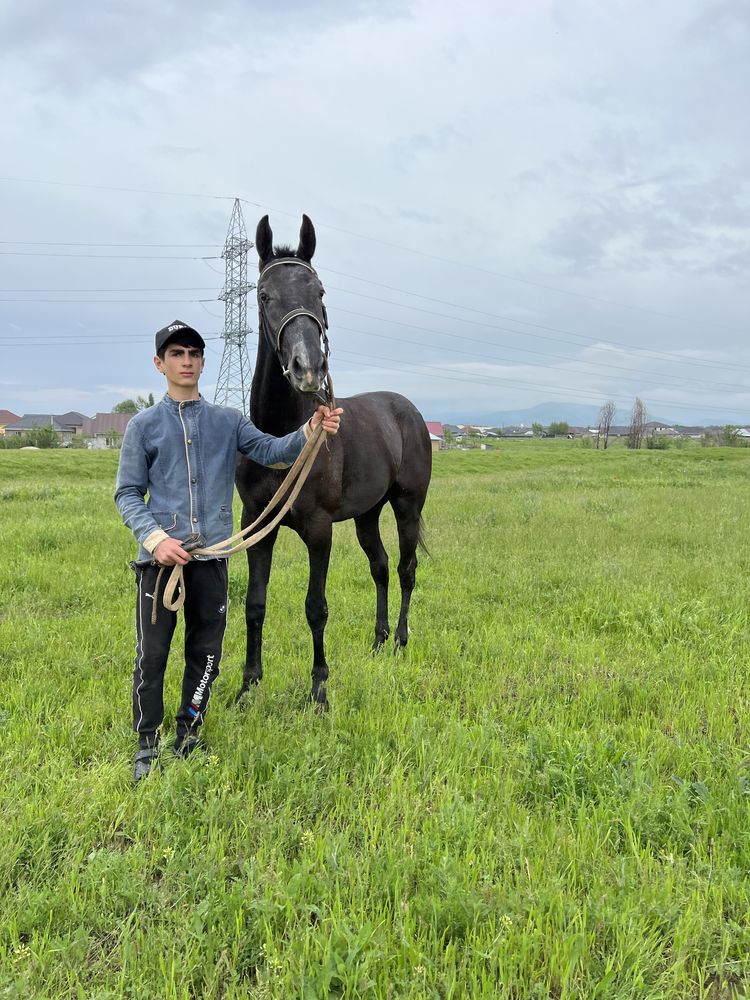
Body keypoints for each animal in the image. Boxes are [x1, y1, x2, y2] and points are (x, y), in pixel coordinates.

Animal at [235, 215, 434, 708]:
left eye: (320, 291)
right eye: (264, 295)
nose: (309, 367)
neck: (280, 440)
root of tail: (407, 410)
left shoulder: (319, 530)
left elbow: (315, 607)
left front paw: (319, 690)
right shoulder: (256, 526)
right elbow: (254, 604)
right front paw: (247, 687)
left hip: (407, 506)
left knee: (404, 570)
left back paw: (400, 642)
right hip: (367, 514)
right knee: (380, 566)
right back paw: (378, 641)